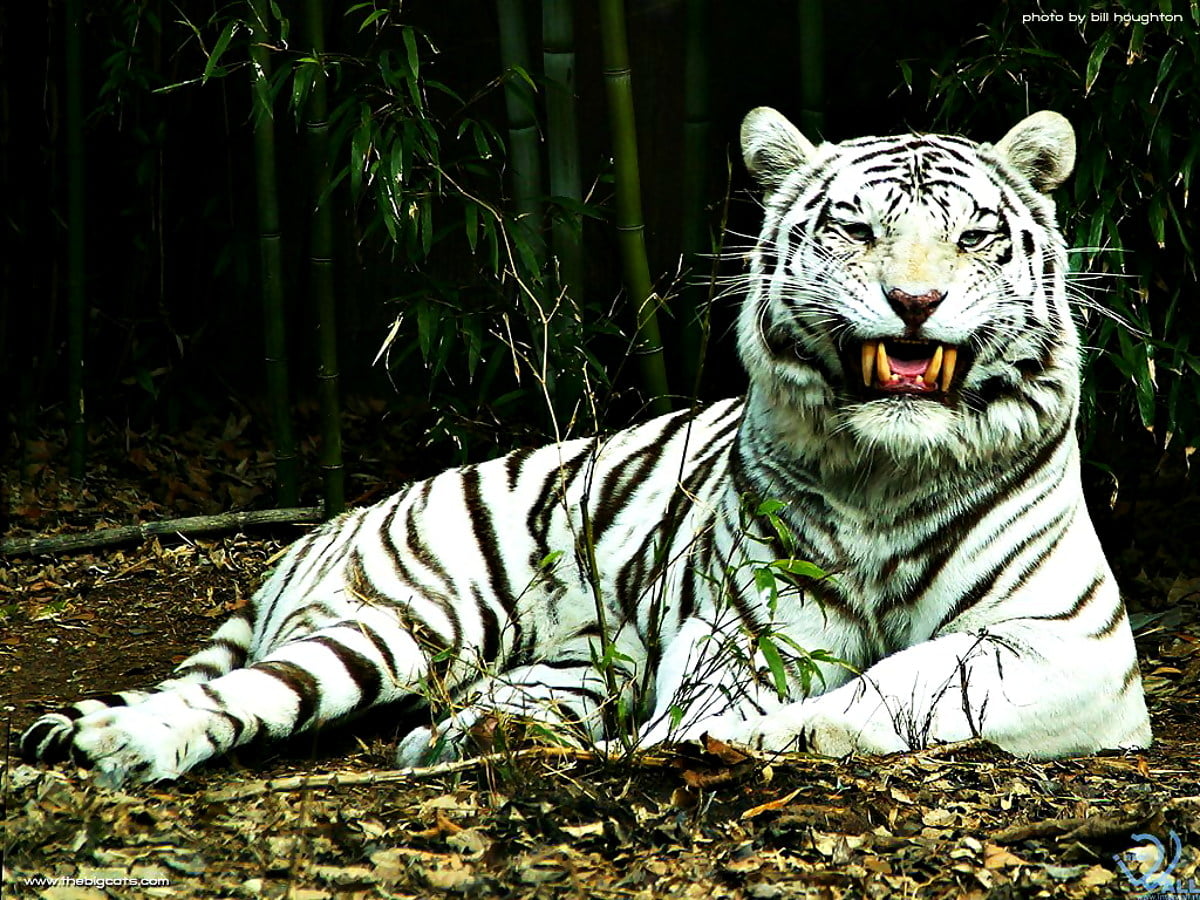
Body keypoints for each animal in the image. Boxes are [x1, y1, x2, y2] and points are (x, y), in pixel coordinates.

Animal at [21, 107, 1152, 787]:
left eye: (972, 237)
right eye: (854, 229)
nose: (914, 303)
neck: (885, 467)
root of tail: (327, 525)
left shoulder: (1065, 644)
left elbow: (889, 693)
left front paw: (701, 742)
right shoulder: (744, 630)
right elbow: (760, 696)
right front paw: (685, 740)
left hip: (552, 664)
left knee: (470, 707)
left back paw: (478, 737)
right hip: (398, 622)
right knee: (255, 690)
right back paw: (126, 743)